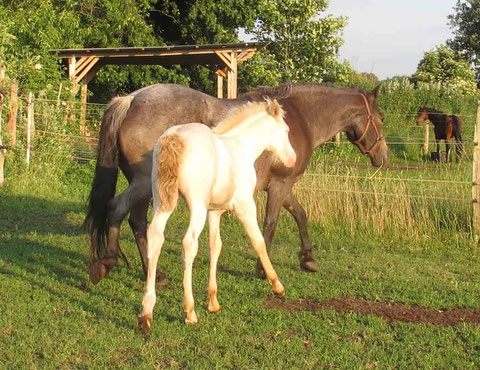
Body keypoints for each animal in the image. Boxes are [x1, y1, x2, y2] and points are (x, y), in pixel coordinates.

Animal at [138, 99, 296, 332]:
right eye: (285, 130)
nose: (292, 159)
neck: (241, 147)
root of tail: (175, 137)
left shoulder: (215, 211)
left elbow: (215, 246)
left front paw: (213, 301)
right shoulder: (244, 205)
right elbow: (258, 241)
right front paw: (277, 285)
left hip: (162, 200)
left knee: (155, 237)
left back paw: (147, 312)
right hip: (197, 205)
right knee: (189, 244)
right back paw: (190, 311)